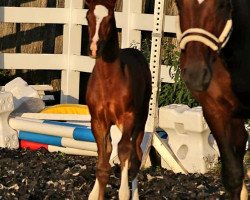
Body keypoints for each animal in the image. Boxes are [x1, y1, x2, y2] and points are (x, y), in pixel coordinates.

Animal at [85, 0, 152, 199]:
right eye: (87, 16)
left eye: (109, 19)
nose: (94, 48)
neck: (108, 80)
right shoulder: (98, 121)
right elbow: (103, 162)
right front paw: (96, 194)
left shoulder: (128, 117)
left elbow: (124, 151)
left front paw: (124, 193)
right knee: (109, 151)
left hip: (141, 119)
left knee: (135, 155)